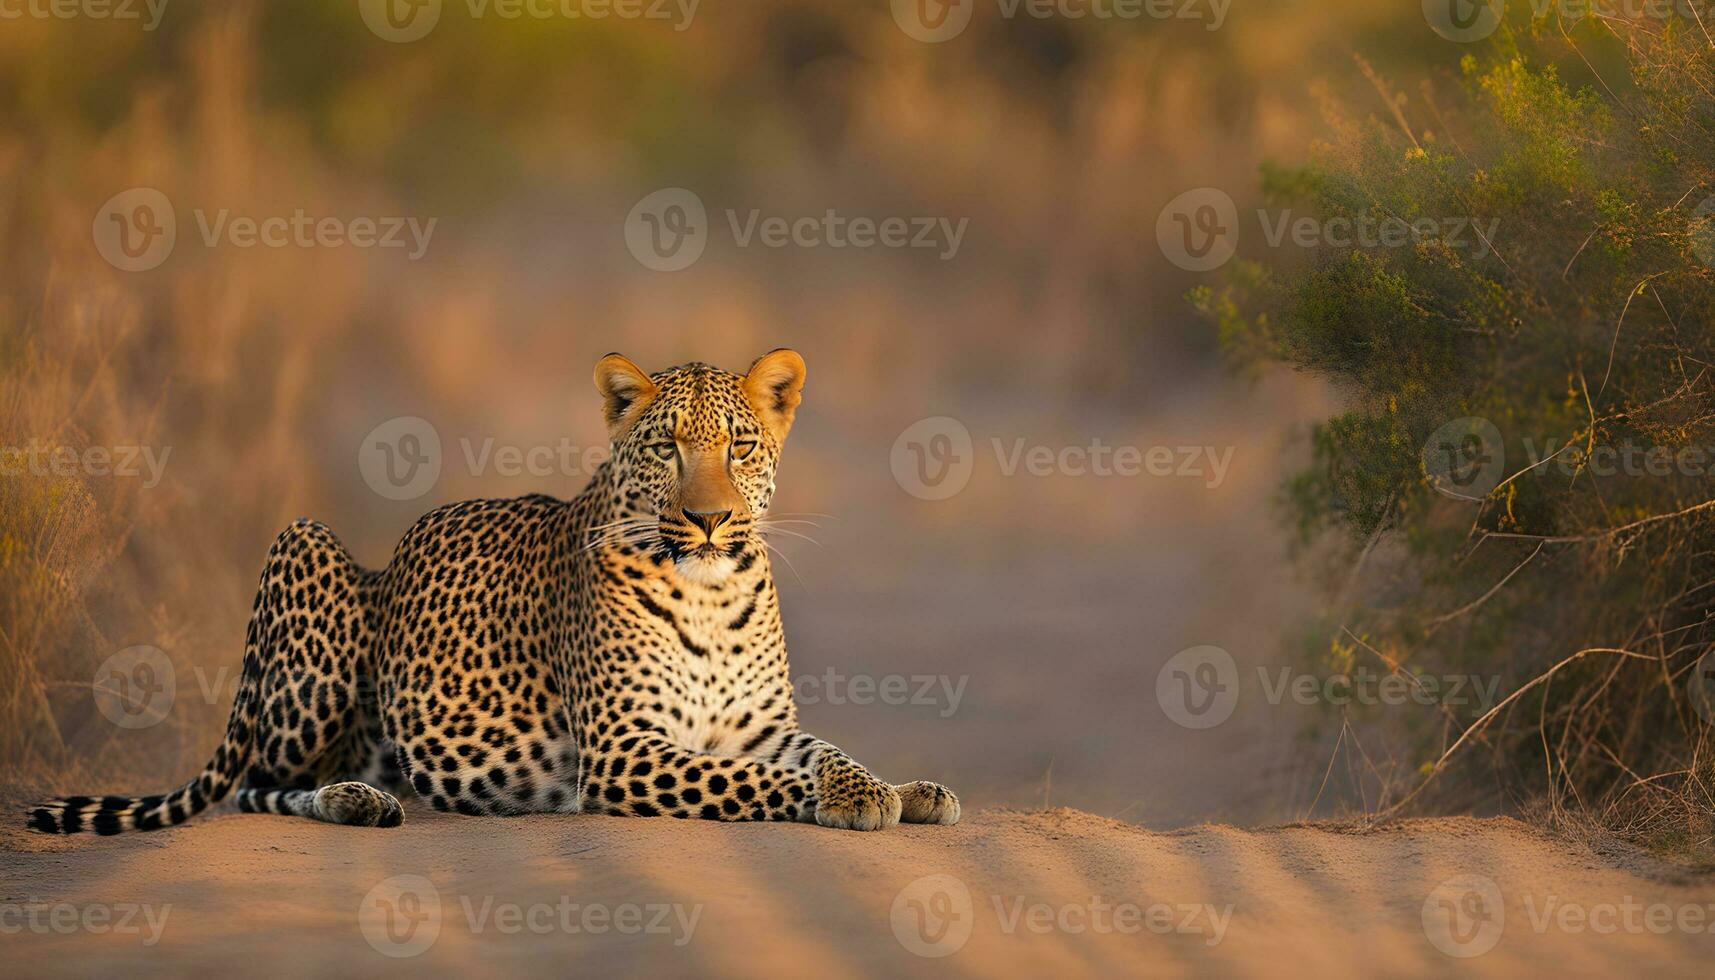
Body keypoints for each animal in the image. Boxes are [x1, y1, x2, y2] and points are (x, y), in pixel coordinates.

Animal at [26, 350, 960, 837]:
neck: (709, 595)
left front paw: (891, 787)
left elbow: (825, 751)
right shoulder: (624, 749)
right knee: (258, 779)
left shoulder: (760, 726)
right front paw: (860, 801)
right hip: (303, 551)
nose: (707, 520)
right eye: (665, 448)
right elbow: (748, 783)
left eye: (739, 445)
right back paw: (354, 801)